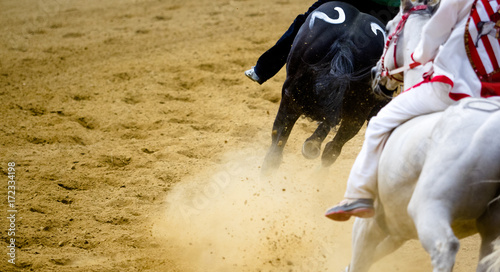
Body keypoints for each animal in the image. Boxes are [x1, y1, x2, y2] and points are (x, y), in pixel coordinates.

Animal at [348, 1, 500, 270]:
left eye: (388, 29)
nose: (375, 73)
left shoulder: (367, 222)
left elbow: (358, 261)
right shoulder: (395, 229)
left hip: (429, 205)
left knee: (444, 247)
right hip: (490, 229)